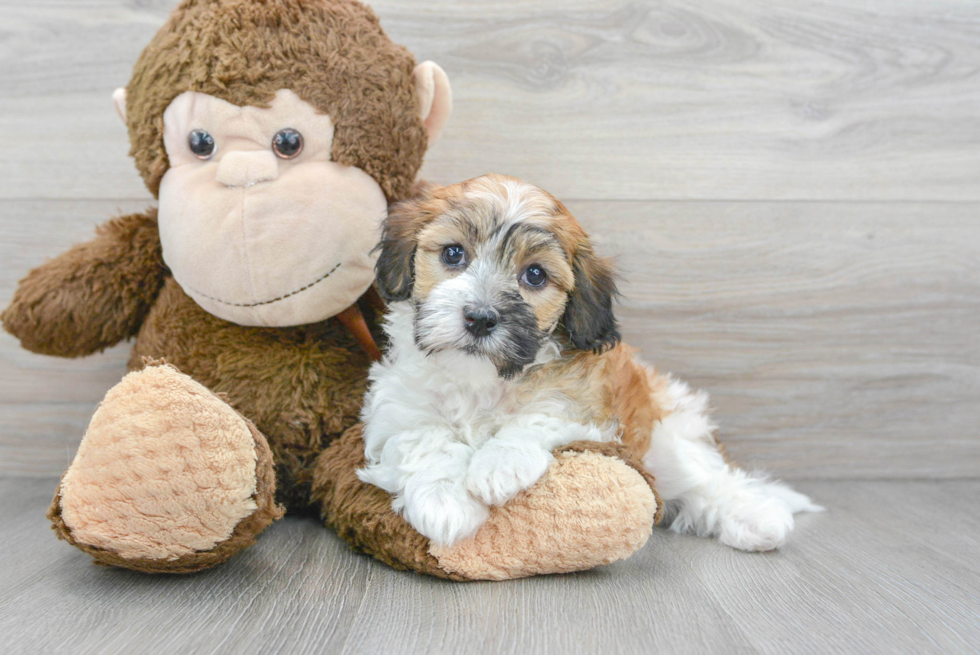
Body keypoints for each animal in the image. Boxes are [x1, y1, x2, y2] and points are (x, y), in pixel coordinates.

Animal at [358, 174, 820, 548]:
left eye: (535, 275)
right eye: (453, 254)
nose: (480, 317)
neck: (481, 380)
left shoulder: (590, 408)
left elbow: (540, 416)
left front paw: (497, 466)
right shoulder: (397, 406)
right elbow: (423, 436)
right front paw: (445, 502)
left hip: (668, 442)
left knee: (710, 481)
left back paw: (757, 517)